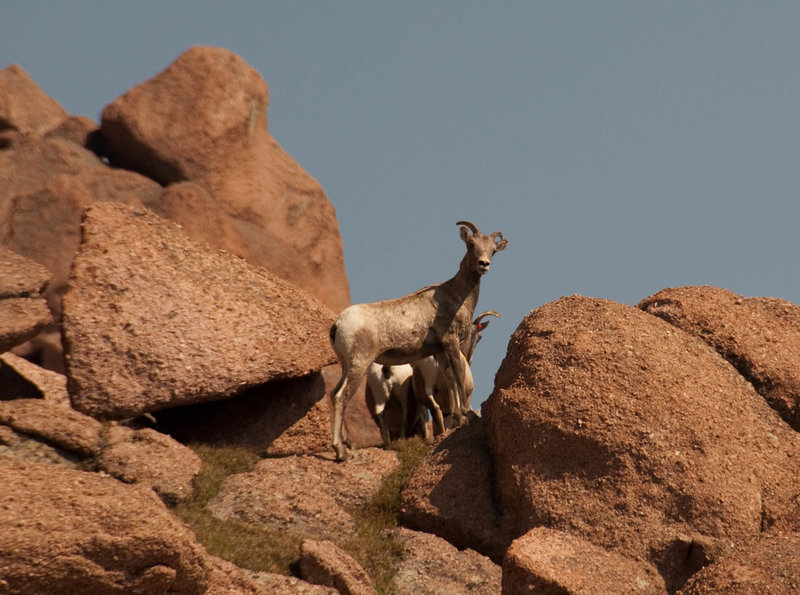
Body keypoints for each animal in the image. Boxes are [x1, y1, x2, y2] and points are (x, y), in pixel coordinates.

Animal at [326, 221, 506, 458]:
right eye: (471, 244)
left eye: (493, 251)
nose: (483, 264)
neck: (456, 296)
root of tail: (338, 324)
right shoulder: (450, 342)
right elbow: (458, 375)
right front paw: (468, 414)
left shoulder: (440, 350)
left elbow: (450, 378)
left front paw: (458, 418)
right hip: (359, 365)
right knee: (341, 397)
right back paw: (340, 452)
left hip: (347, 366)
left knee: (334, 394)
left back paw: (348, 445)